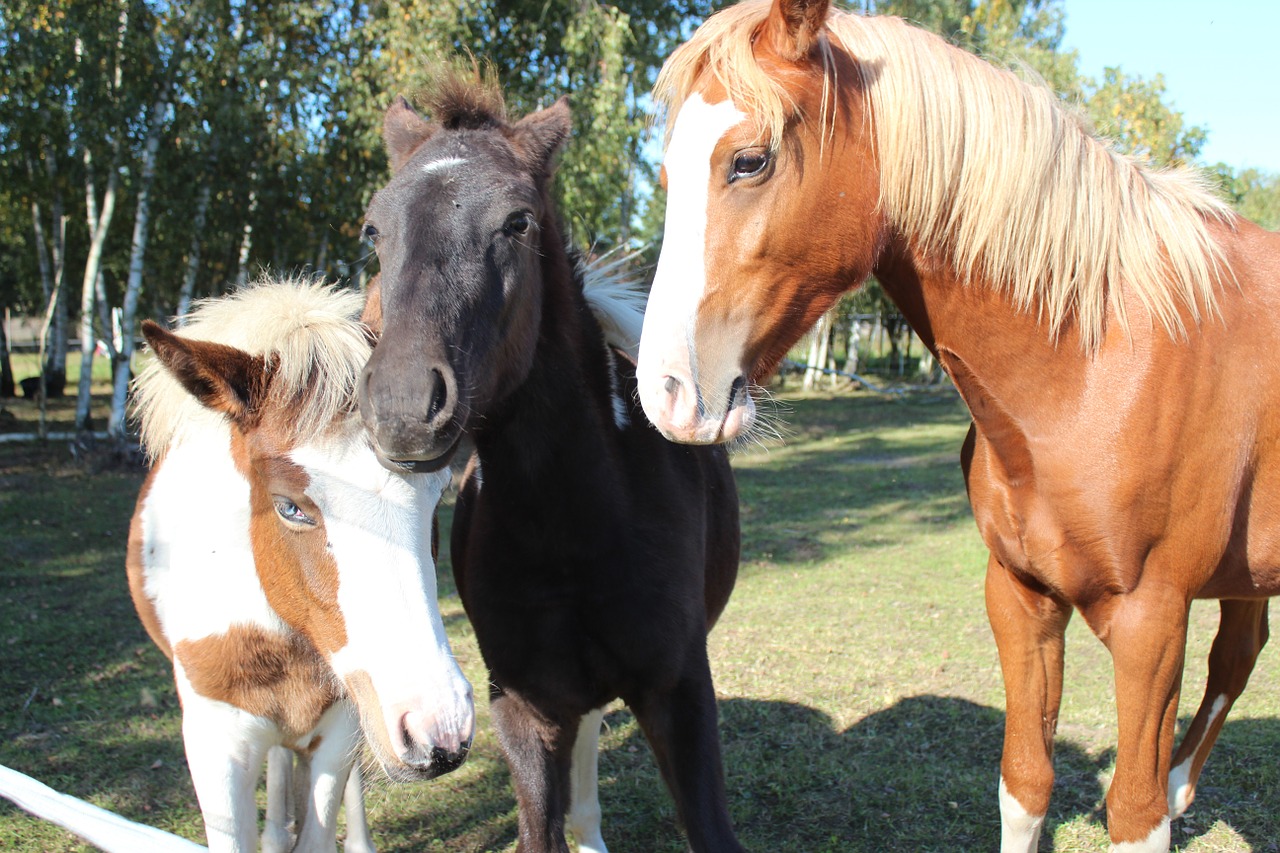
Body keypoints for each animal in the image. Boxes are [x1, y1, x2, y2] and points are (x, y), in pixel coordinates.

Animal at [355, 73, 747, 850]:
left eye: (518, 222)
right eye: (374, 230)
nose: (403, 407)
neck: (577, 524)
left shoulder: (680, 690)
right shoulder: (522, 704)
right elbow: (541, 825)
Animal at [634, 1, 1280, 850]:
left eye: (748, 160)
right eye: (666, 176)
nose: (664, 393)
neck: (1095, 359)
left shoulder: (1152, 624)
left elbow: (1134, 815)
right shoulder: (1019, 597)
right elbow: (1025, 784)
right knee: (1240, 652)